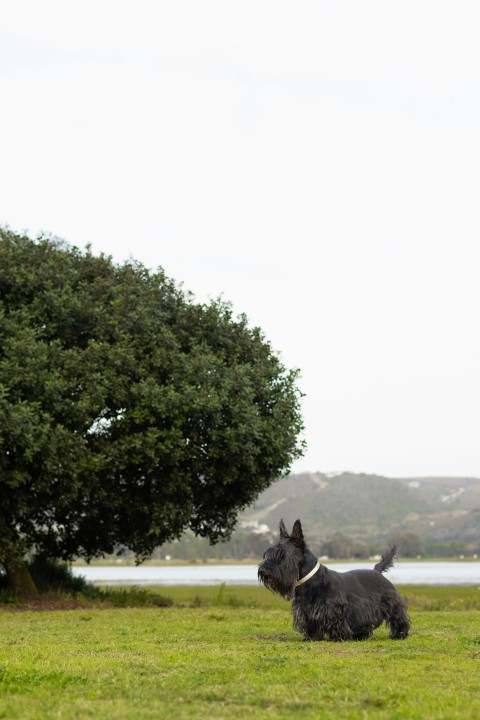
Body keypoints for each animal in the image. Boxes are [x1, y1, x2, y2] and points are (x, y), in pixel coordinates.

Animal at [256, 516, 410, 640]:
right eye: (268, 553)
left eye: (283, 555)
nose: (263, 571)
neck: (310, 582)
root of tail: (377, 571)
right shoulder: (306, 611)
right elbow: (311, 624)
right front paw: (312, 637)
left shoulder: (335, 609)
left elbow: (336, 623)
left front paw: (337, 637)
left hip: (392, 603)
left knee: (399, 618)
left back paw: (399, 634)